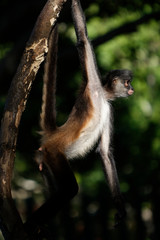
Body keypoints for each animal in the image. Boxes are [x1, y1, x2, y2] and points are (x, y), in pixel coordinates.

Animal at [36, 0, 134, 225]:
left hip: (46, 160)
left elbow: (105, 152)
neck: (103, 96)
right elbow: (82, 39)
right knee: (69, 190)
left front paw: (120, 208)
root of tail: (54, 134)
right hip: (54, 153)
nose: (132, 89)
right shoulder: (92, 83)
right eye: (127, 82)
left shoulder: (109, 109)